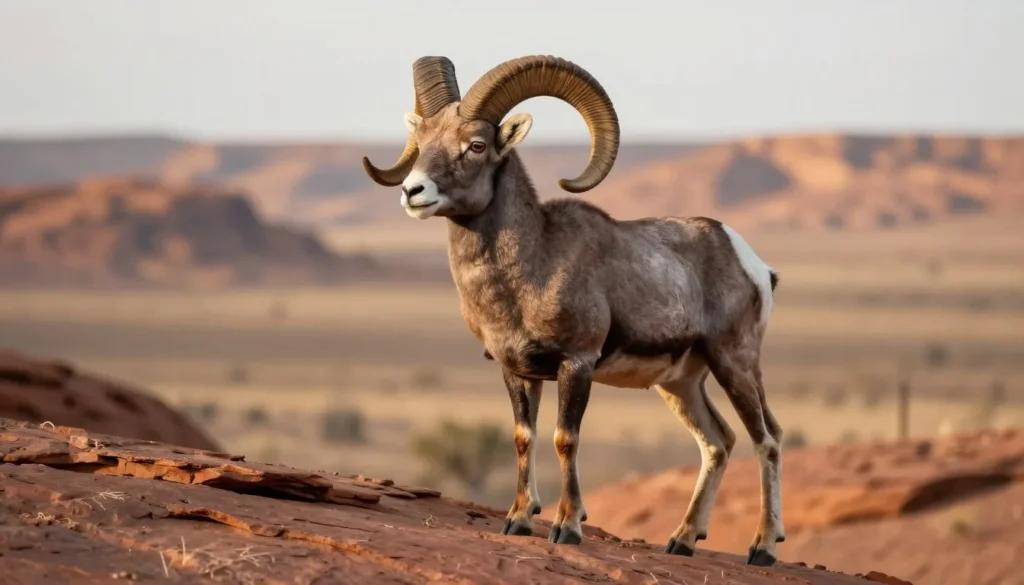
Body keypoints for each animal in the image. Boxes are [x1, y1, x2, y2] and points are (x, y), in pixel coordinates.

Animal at [362, 55, 785, 566]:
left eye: (476, 145)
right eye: (422, 141)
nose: (413, 191)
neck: (532, 268)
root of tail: (752, 262)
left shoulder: (576, 364)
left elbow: (566, 439)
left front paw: (567, 527)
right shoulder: (515, 371)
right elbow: (524, 437)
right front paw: (519, 520)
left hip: (735, 364)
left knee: (767, 439)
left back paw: (762, 548)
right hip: (681, 384)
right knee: (718, 443)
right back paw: (682, 541)